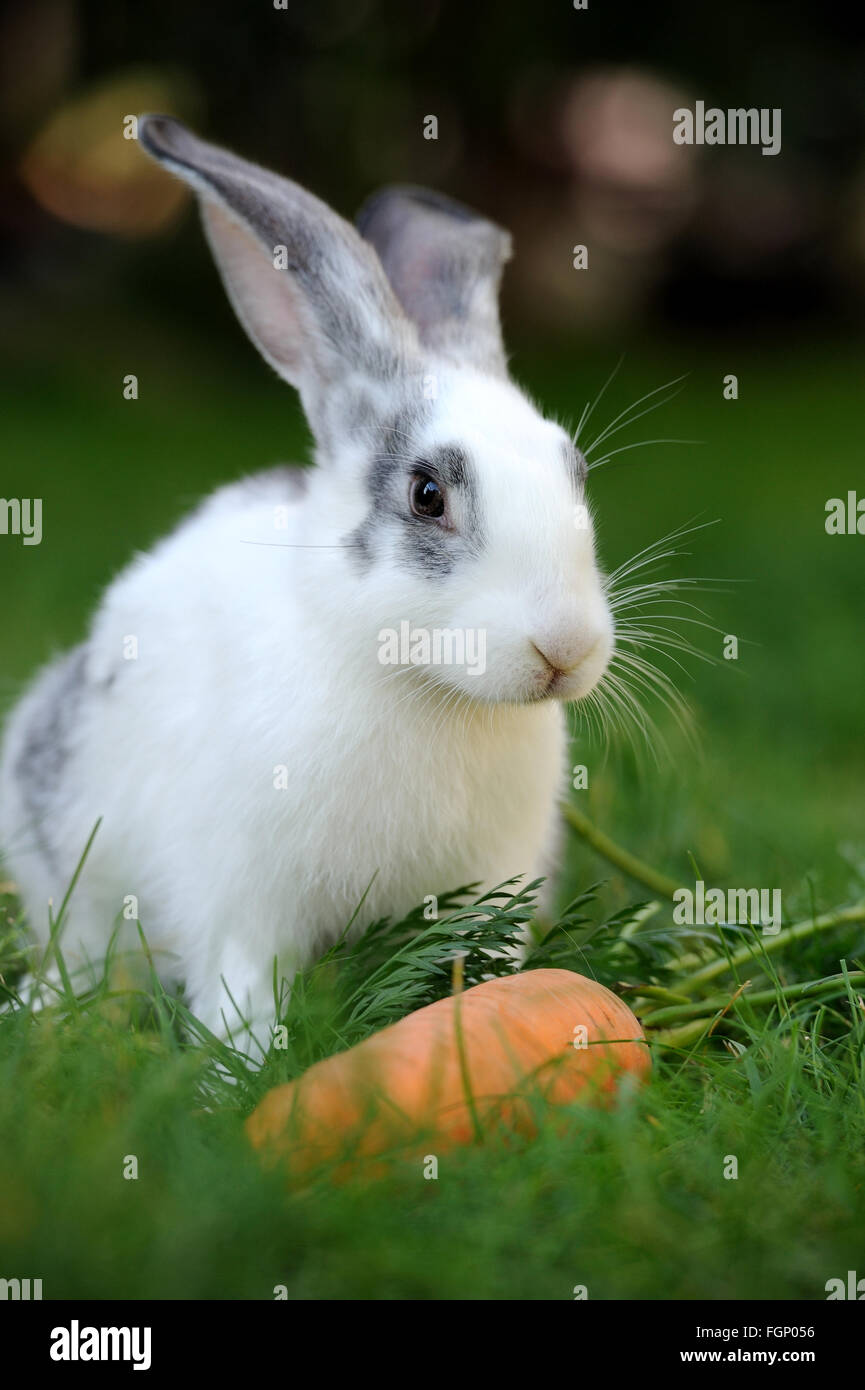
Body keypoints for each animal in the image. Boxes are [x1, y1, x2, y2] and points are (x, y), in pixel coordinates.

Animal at [0, 116, 614, 1049]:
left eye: (574, 471)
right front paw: (242, 1067)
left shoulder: (488, 886)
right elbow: (244, 986)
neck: (417, 682)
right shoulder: (244, 896)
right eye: (426, 495)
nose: (565, 648)